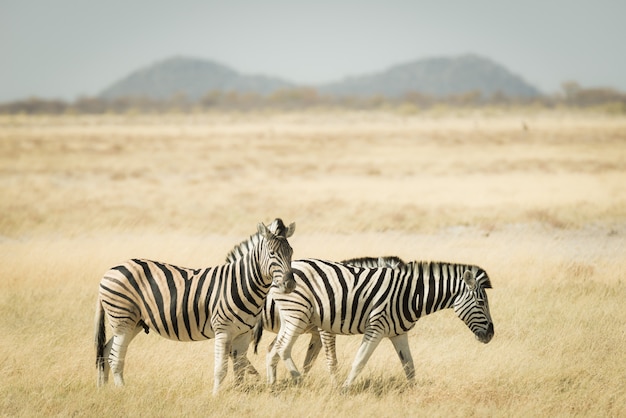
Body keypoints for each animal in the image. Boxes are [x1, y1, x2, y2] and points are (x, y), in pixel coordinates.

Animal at [94, 219, 296, 396]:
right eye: (272, 253)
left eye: (291, 253)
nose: (290, 284)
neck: (241, 284)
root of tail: (110, 270)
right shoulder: (223, 330)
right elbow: (221, 369)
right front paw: (216, 396)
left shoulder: (243, 334)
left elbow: (239, 369)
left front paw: (240, 394)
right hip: (123, 319)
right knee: (114, 357)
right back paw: (121, 390)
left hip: (134, 322)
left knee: (105, 351)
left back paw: (104, 389)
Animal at [260, 258, 490, 388]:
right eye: (481, 302)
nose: (491, 334)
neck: (410, 295)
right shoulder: (376, 328)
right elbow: (359, 361)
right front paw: (344, 389)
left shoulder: (399, 333)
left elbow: (409, 366)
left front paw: (414, 392)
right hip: (297, 316)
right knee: (283, 349)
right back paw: (297, 382)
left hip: (290, 317)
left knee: (273, 351)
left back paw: (273, 386)